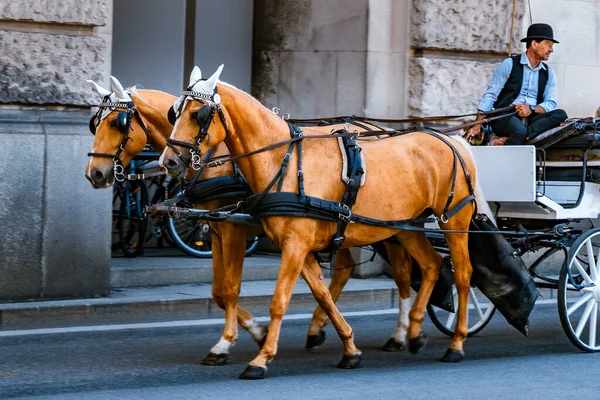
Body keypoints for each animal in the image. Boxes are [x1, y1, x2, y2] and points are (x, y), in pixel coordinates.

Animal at [83, 77, 412, 366]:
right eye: (94, 123)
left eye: (117, 123)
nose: (94, 173)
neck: (217, 156)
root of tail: (380, 128)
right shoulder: (216, 227)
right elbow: (218, 291)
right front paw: (257, 331)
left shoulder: (234, 228)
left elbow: (230, 288)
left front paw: (227, 343)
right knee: (349, 270)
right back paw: (323, 329)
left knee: (400, 271)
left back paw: (399, 334)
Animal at [159, 64, 492, 380]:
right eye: (174, 111)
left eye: (198, 114)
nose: (167, 161)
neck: (284, 161)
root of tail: (450, 140)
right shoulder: (291, 245)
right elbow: (321, 294)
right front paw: (349, 348)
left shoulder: (283, 242)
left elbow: (274, 299)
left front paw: (259, 357)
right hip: (403, 226)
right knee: (428, 266)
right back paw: (411, 332)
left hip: (453, 221)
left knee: (462, 275)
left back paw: (456, 342)